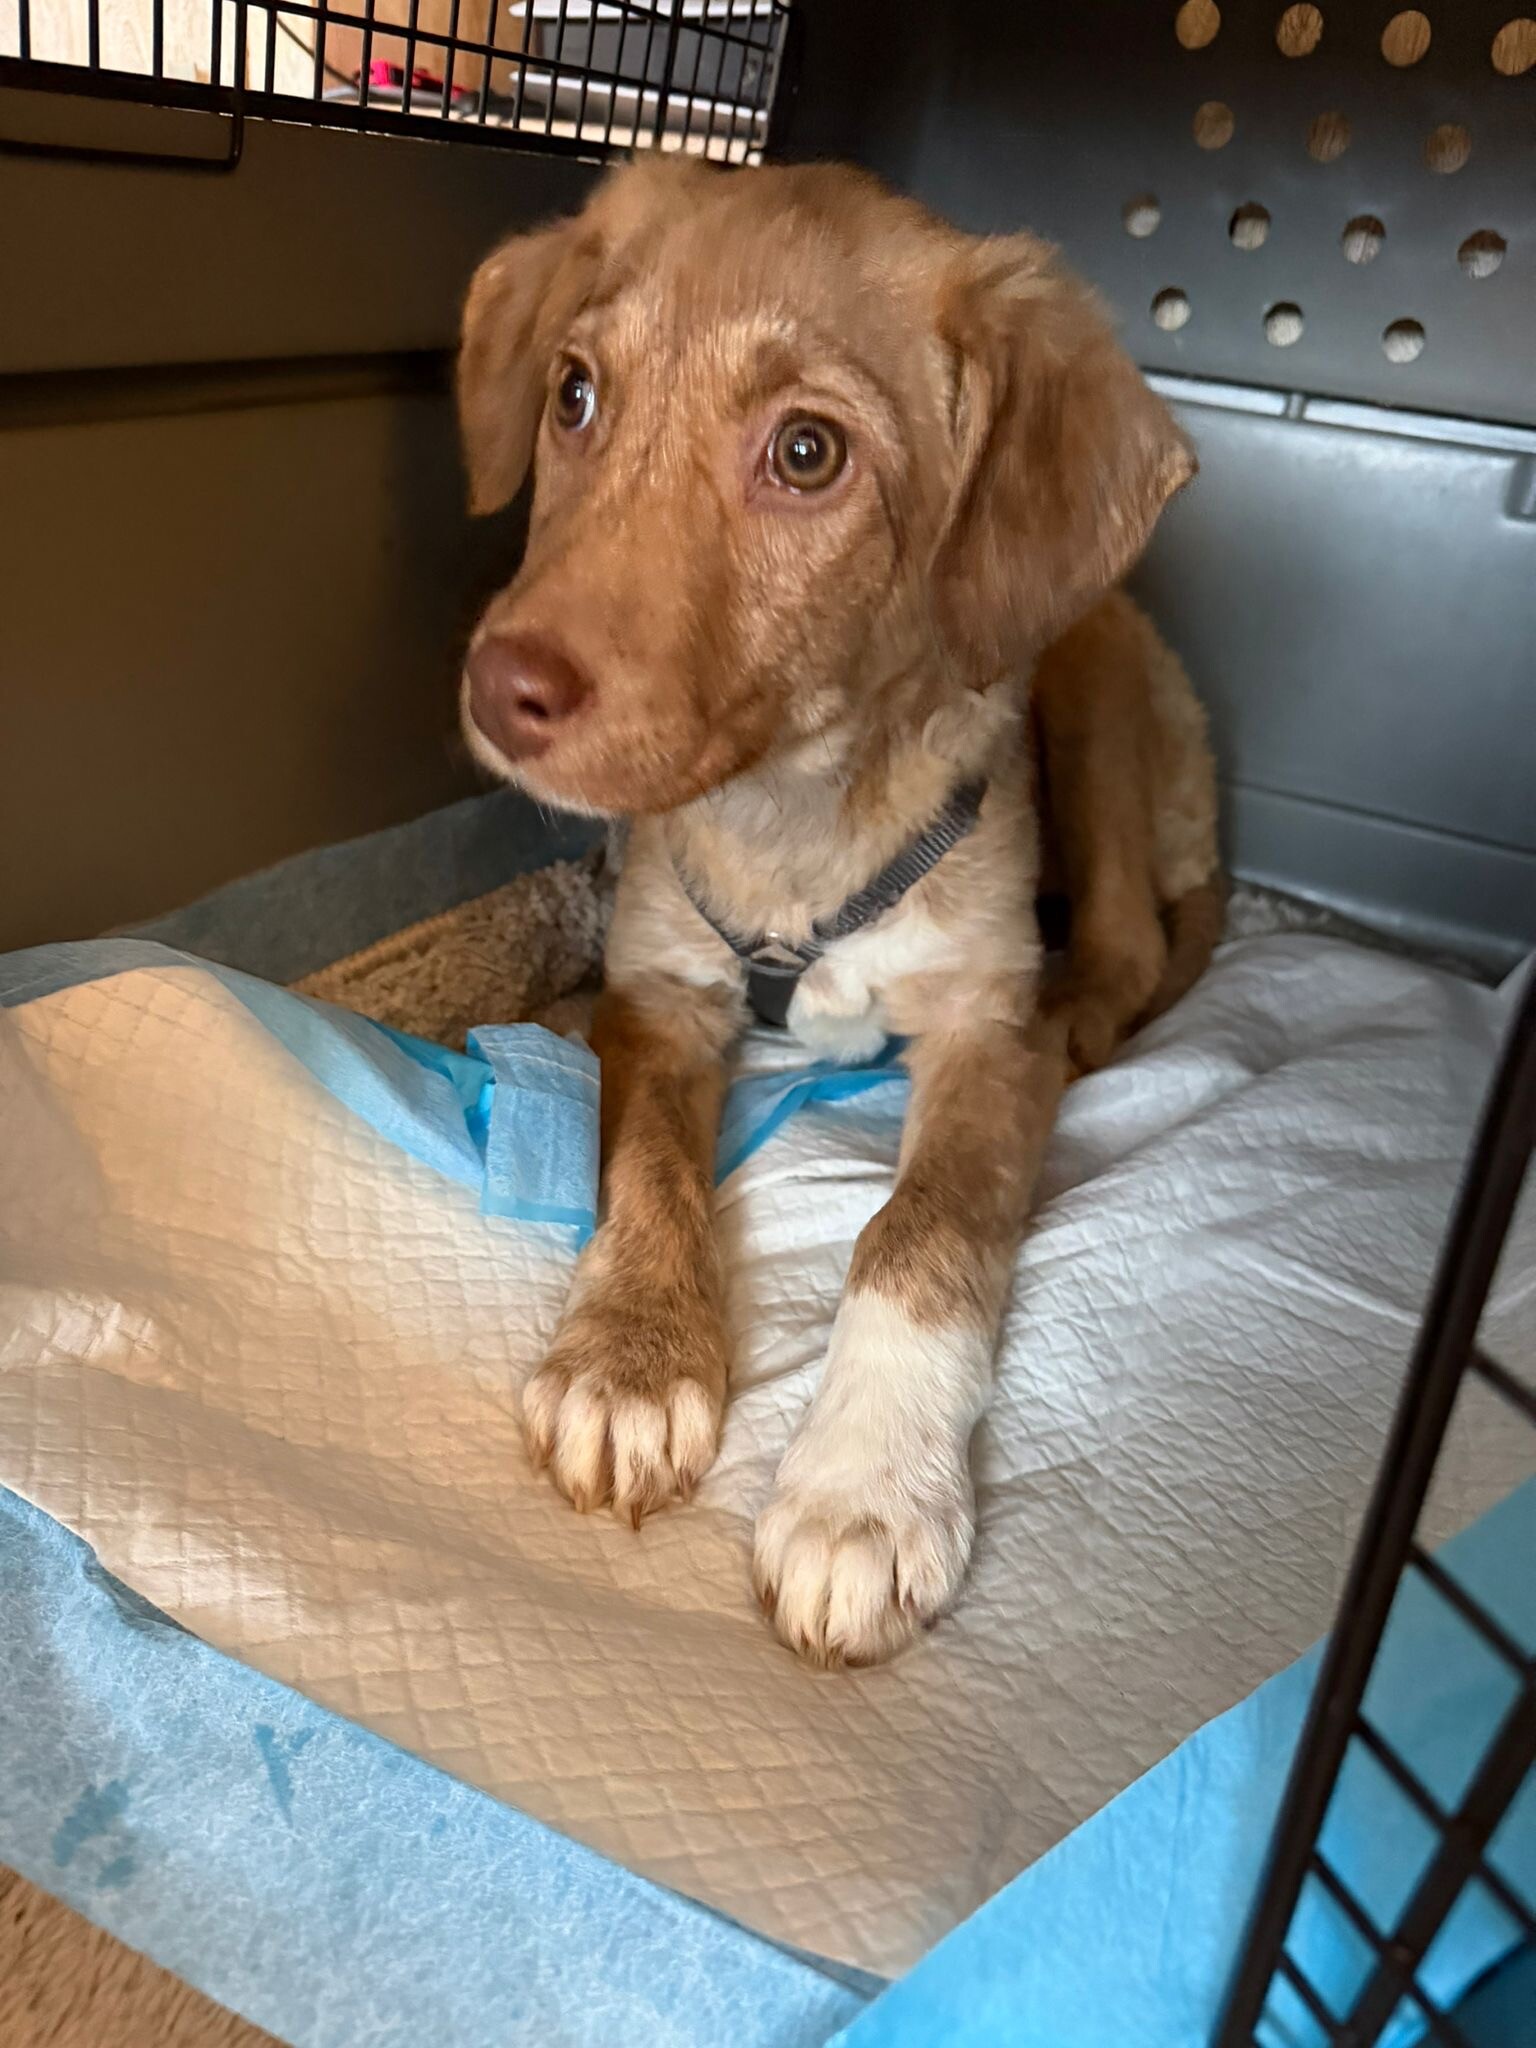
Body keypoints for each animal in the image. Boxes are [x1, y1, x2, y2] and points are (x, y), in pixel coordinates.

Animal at [456, 156, 1221, 1668]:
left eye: (808, 454)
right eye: (575, 393)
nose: (500, 689)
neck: (797, 818)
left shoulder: (982, 1024)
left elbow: (923, 1233)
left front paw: (864, 1489)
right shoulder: (660, 992)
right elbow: (642, 1162)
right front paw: (629, 1357)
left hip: (1093, 677)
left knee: (1129, 944)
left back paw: (1092, 1013)